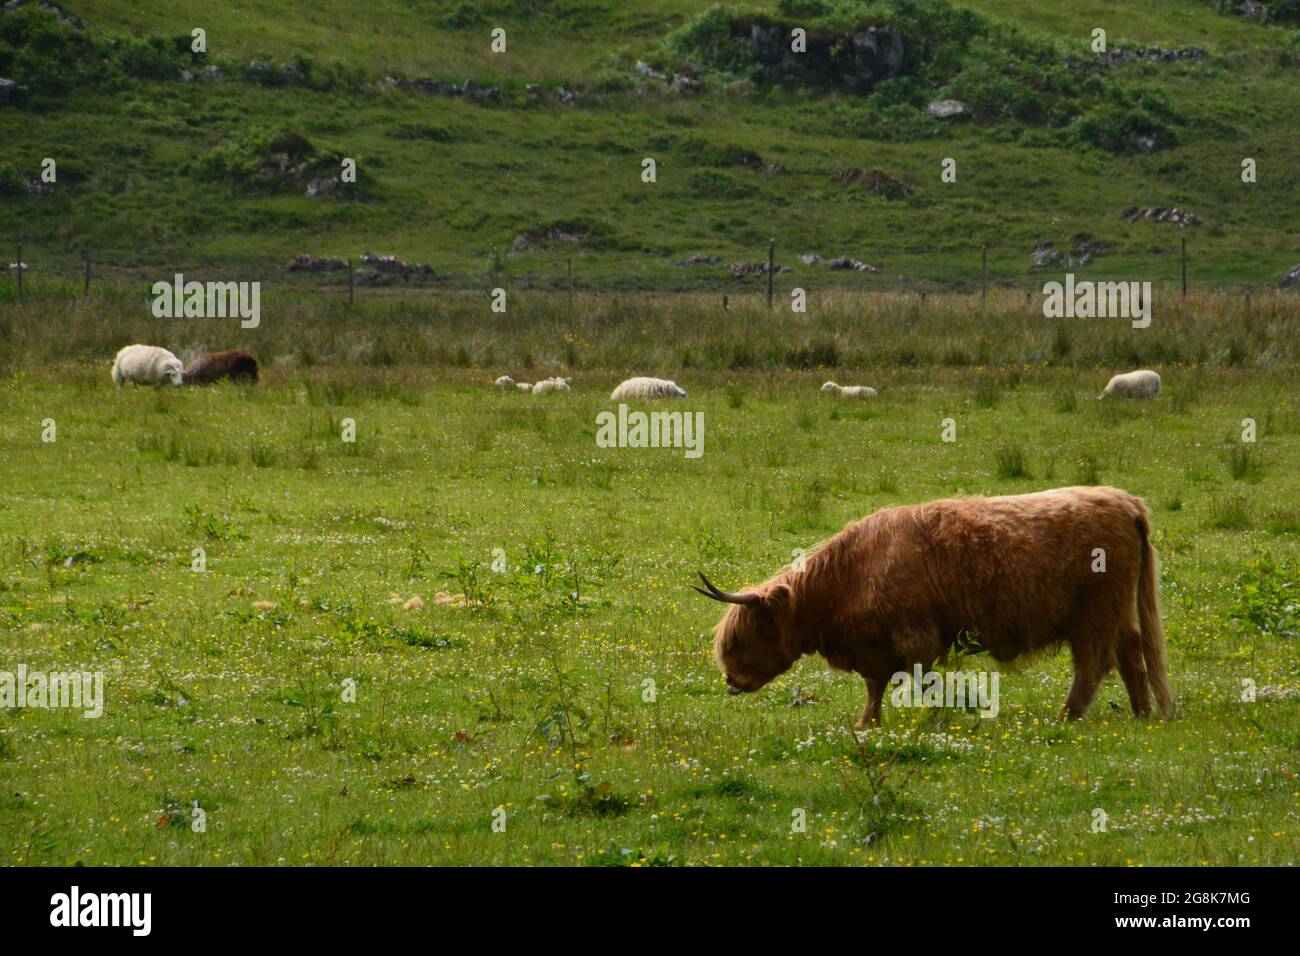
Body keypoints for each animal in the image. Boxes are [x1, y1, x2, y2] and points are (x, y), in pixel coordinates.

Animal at [695, 486, 1173, 727]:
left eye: (745, 635)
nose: (730, 680)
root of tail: (1126, 500)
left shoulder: (915, 636)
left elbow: (926, 681)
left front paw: (935, 721)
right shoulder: (876, 647)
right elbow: (875, 686)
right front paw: (868, 723)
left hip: (1094, 613)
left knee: (1093, 664)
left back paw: (1067, 716)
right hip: (1116, 611)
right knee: (1131, 653)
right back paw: (1141, 713)